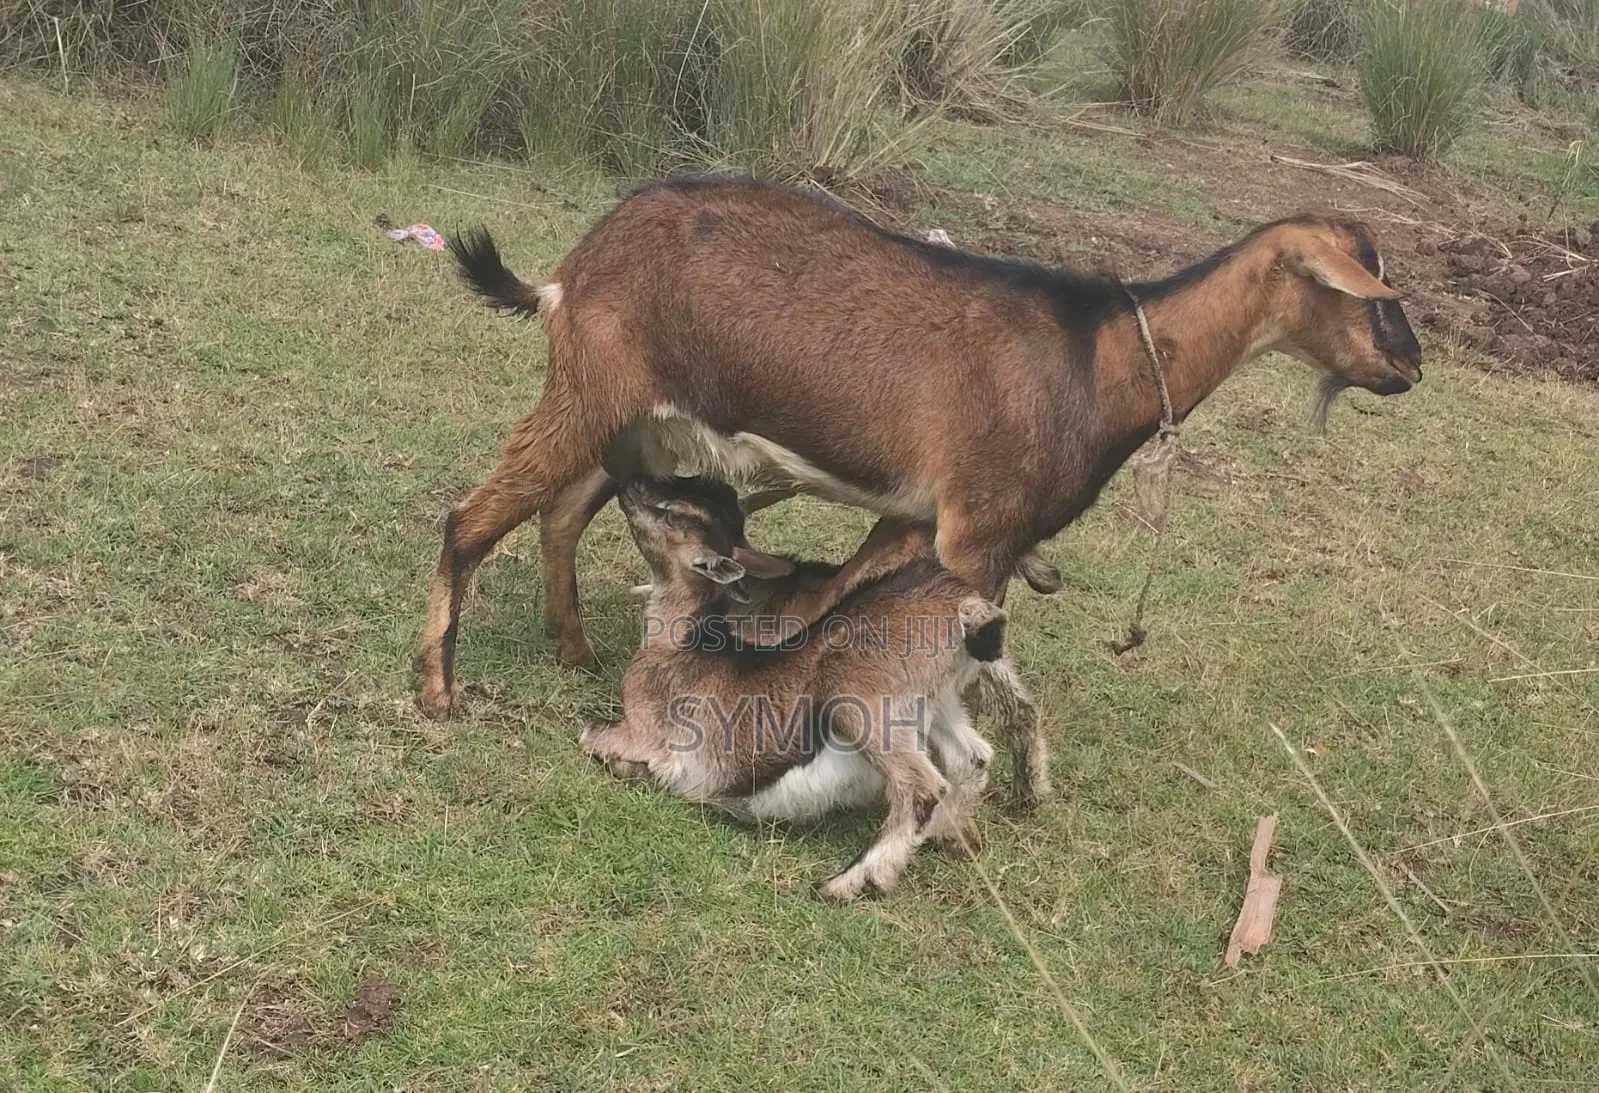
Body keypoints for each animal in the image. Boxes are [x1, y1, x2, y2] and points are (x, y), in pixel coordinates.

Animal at [417, 175, 1421, 719]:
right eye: (1365, 288)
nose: (1410, 365)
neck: (1100, 356)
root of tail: (571, 265)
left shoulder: (916, 519)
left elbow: (820, 605)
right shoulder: (977, 532)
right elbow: (953, 663)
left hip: (633, 422)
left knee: (558, 513)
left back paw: (574, 650)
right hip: (593, 389)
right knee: (469, 520)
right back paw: (438, 689)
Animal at [581, 475, 1010, 900]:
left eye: (673, 513)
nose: (627, 485)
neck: (682, 640)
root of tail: (964, 607)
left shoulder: (645, 733)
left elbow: (590, 734)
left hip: (863, 705)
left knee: (921, 787)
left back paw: (847, 882)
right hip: (939, 700)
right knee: (972, 758)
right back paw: (948, 837)